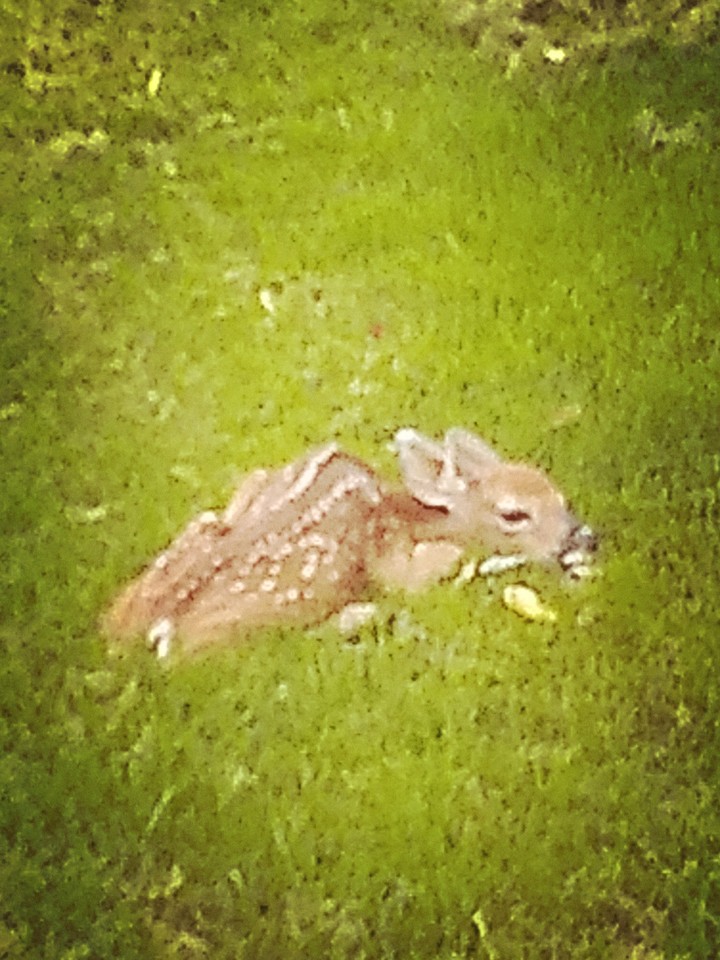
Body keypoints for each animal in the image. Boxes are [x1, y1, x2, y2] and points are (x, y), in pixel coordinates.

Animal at [103, 428, 596, 658]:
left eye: (559, 495)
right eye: (513, 514)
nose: (586, 537)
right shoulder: (389, 558)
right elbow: (416, 575)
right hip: (279, 603)